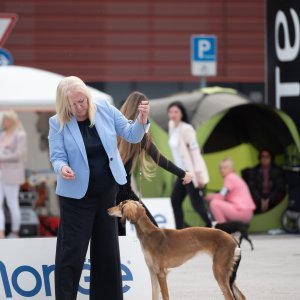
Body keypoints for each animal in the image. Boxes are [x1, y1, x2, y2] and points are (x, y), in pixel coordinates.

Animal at [108, 199, 246, 300]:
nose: (108, 210)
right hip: (226, 273)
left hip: (219, 270)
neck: (149, 233)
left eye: (120, 205)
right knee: (241, 296)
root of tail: (232, 237)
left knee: (230, 297)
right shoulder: (152, 271)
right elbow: (154, 295)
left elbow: (165, 296)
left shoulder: (161, 273)